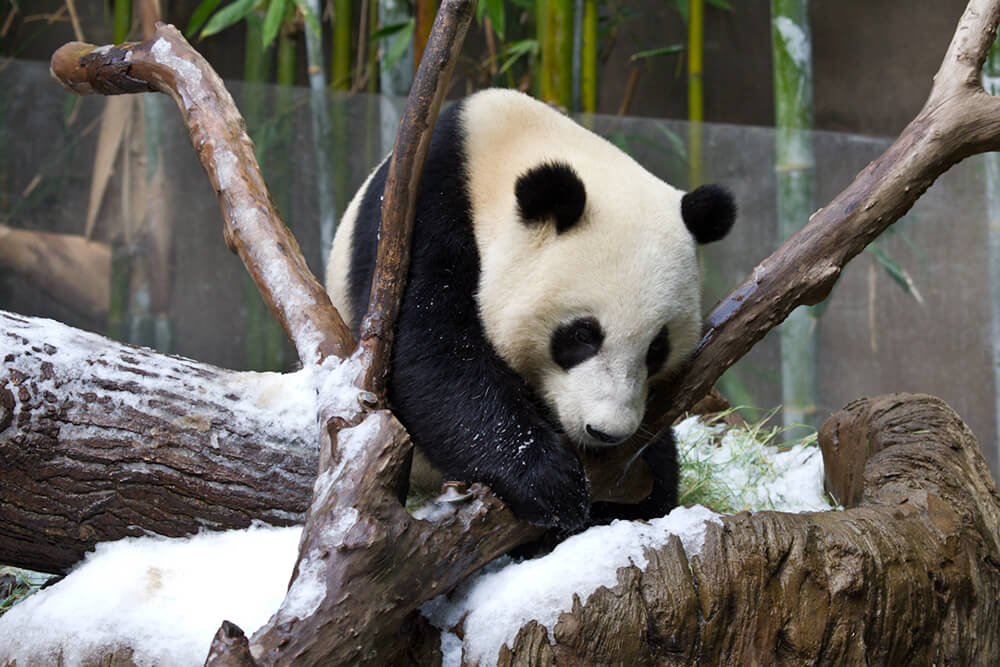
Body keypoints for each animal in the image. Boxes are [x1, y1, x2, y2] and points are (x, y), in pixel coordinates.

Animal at [328, 88, 736, 532]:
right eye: (581, 335)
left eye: (657, 349)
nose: (606, 431)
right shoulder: (420, 211)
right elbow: (428, 347)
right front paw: (550, 483)